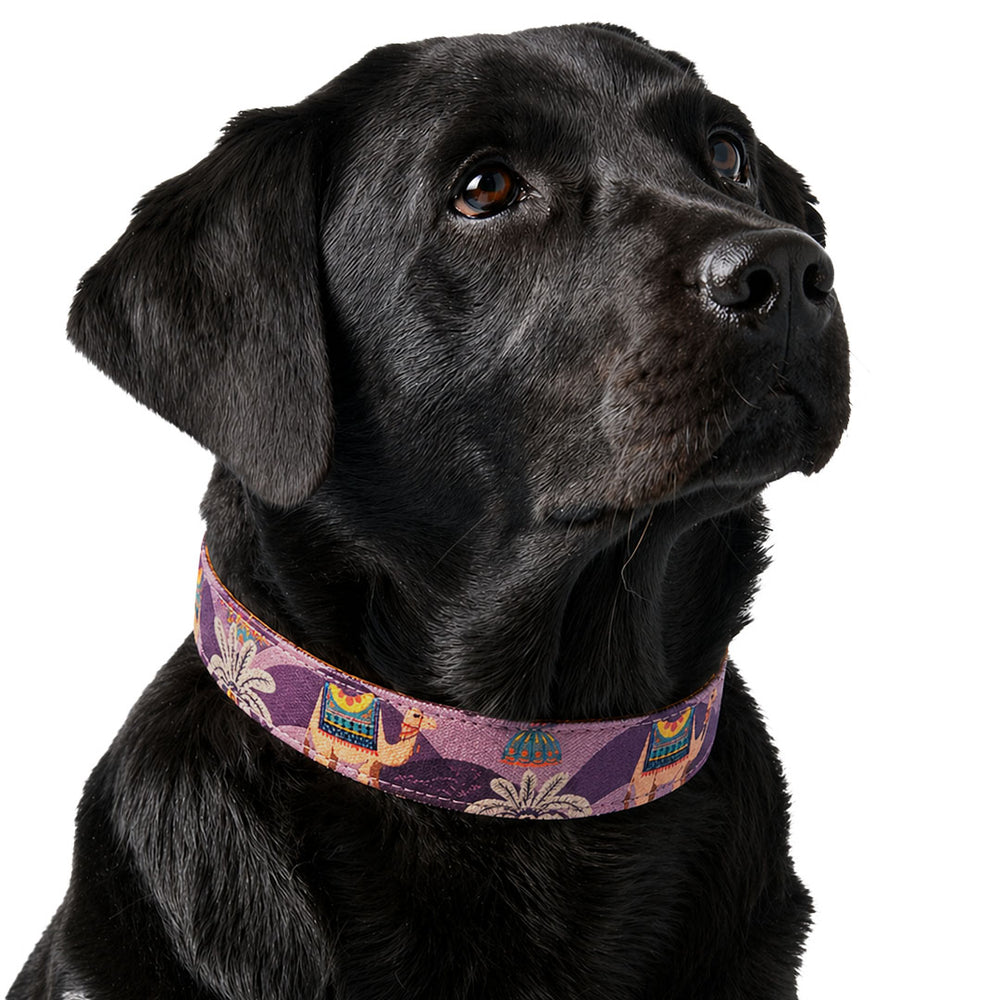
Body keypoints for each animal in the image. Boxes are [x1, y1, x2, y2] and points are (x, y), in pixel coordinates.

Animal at [305, 685, 437, 788]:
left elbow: (375, 782)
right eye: (416, 715)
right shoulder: (368, 764)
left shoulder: (376, 768)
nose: (433, 723)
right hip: (323, 743)